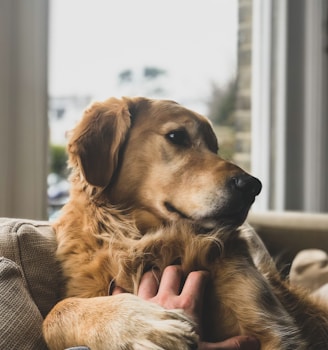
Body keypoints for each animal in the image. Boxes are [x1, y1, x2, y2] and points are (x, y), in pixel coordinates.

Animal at [43, 97, 328, 350]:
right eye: (176, 136)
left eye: (215, 147)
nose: (252, 186)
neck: (147, 238)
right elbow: (55, 313)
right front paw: (144, 324)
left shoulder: (274, 329)